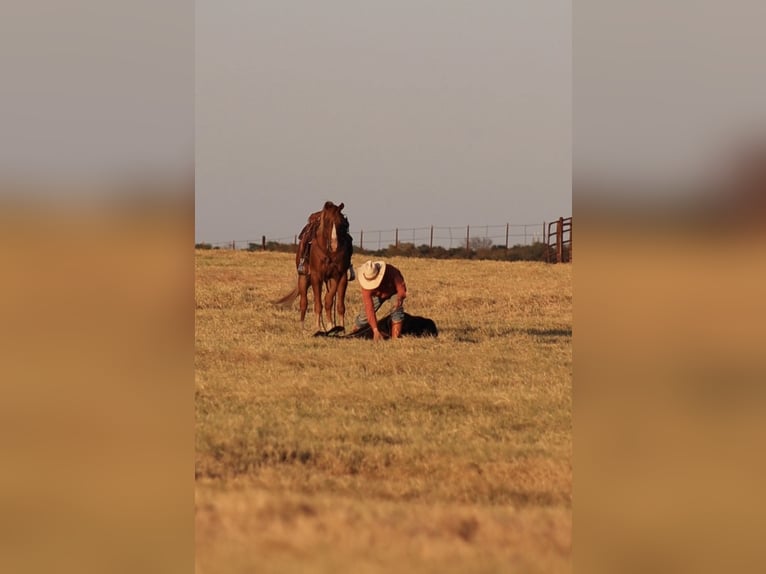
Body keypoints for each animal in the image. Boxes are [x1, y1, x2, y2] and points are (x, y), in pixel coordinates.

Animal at [276, 201, 353, 332]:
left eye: (342, 223)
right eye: (326, 221)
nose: (334, 245)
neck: (329, 252)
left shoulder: (339, 276)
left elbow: (332, 302)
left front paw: (338, 327)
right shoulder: (316, 277)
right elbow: (318, 303)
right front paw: (317, 327)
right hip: (303, 278)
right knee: (303, 302)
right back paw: (302, 327)